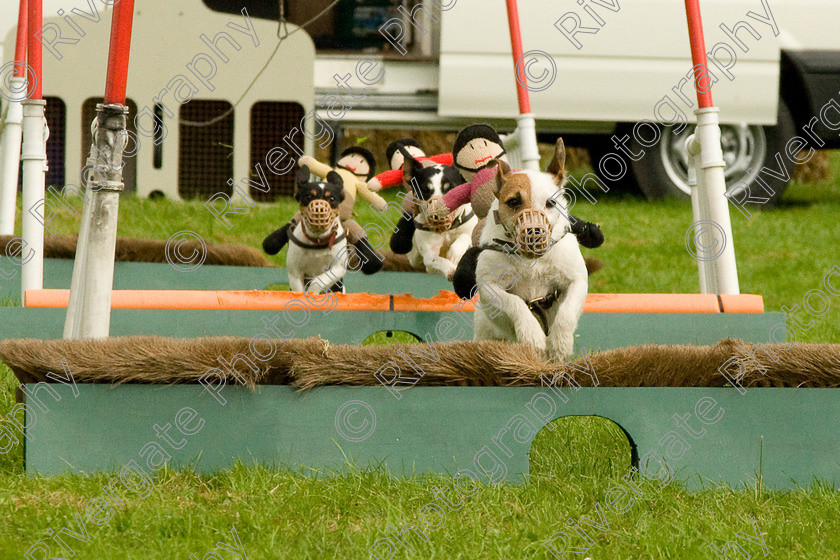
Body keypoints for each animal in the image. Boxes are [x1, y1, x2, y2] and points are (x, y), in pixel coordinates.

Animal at [396, 149, 476, 280]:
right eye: (424, 190)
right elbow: (436, 260)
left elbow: (465, 236)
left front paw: (454, 253)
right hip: (414, 256)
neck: (446, 230)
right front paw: (451, 269)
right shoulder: (429, 255)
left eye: (451, 188)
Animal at [476, 138, 588, 360]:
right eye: (513, 201)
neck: (532, 260)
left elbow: (567, 311)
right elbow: (515, 303)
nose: (534, 231)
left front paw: (560, 344)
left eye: (551, 202)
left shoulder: (577, 281)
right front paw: (532, 336)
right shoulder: (488, 287)